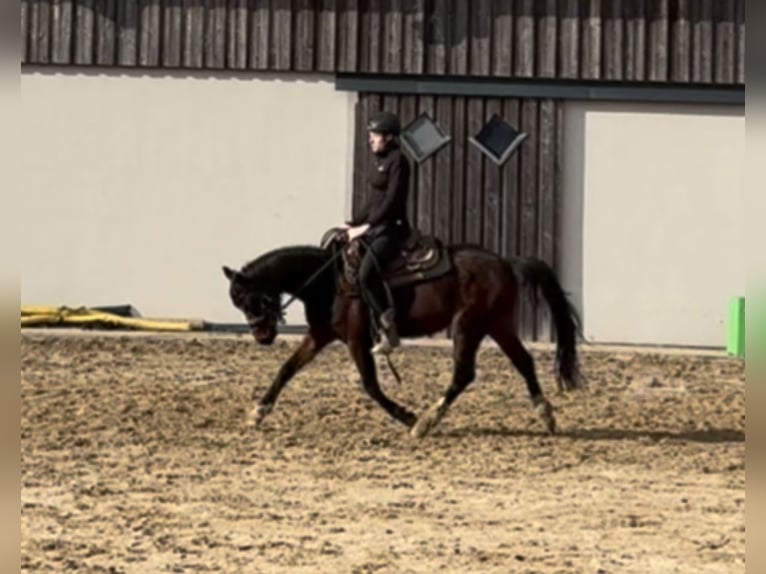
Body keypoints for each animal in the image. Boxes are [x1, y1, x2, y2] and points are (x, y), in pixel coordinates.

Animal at [225, 231, 584, 440]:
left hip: (468, 326)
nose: (261, 336)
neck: (328, 281)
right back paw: (546, 415)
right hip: (497, 325)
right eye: (238, 303)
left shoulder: (357, 341)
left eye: (250, 298)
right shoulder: (320, 335)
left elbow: (371, 385)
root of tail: (507, 263)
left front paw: (407, 416)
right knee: (524, 362)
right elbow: (286, 369)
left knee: (464, 374)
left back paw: (426, 421)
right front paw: (257, 413)